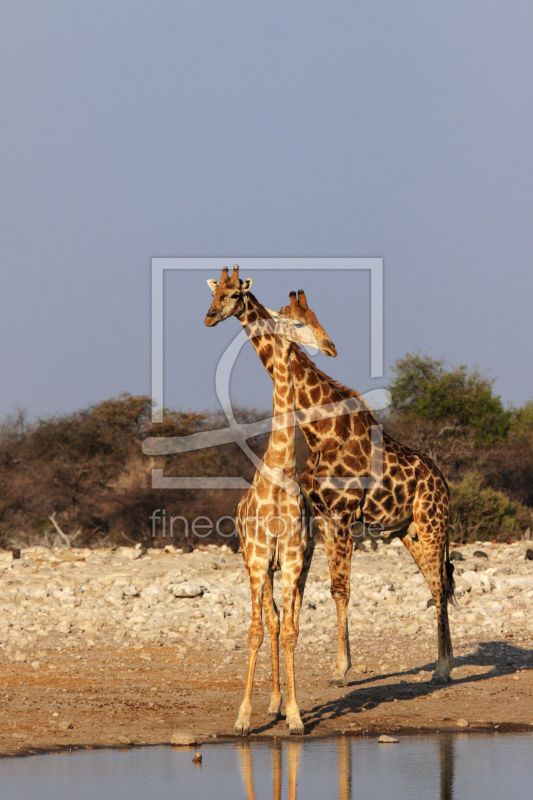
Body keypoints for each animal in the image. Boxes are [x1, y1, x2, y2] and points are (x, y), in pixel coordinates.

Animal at [206, 266, 456, 684]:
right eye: (216, 292)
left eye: (234, 292)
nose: (330, 346)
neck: (318, 430)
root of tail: (444, 484)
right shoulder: (322, 516)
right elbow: (318, 589)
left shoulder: (342, 515)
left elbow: (341, 589)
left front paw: (341, 668)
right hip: (407, 530)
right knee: (439, 581)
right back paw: (448, 661)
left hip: (431, 523)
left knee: (439, 584)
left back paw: (441, 668)